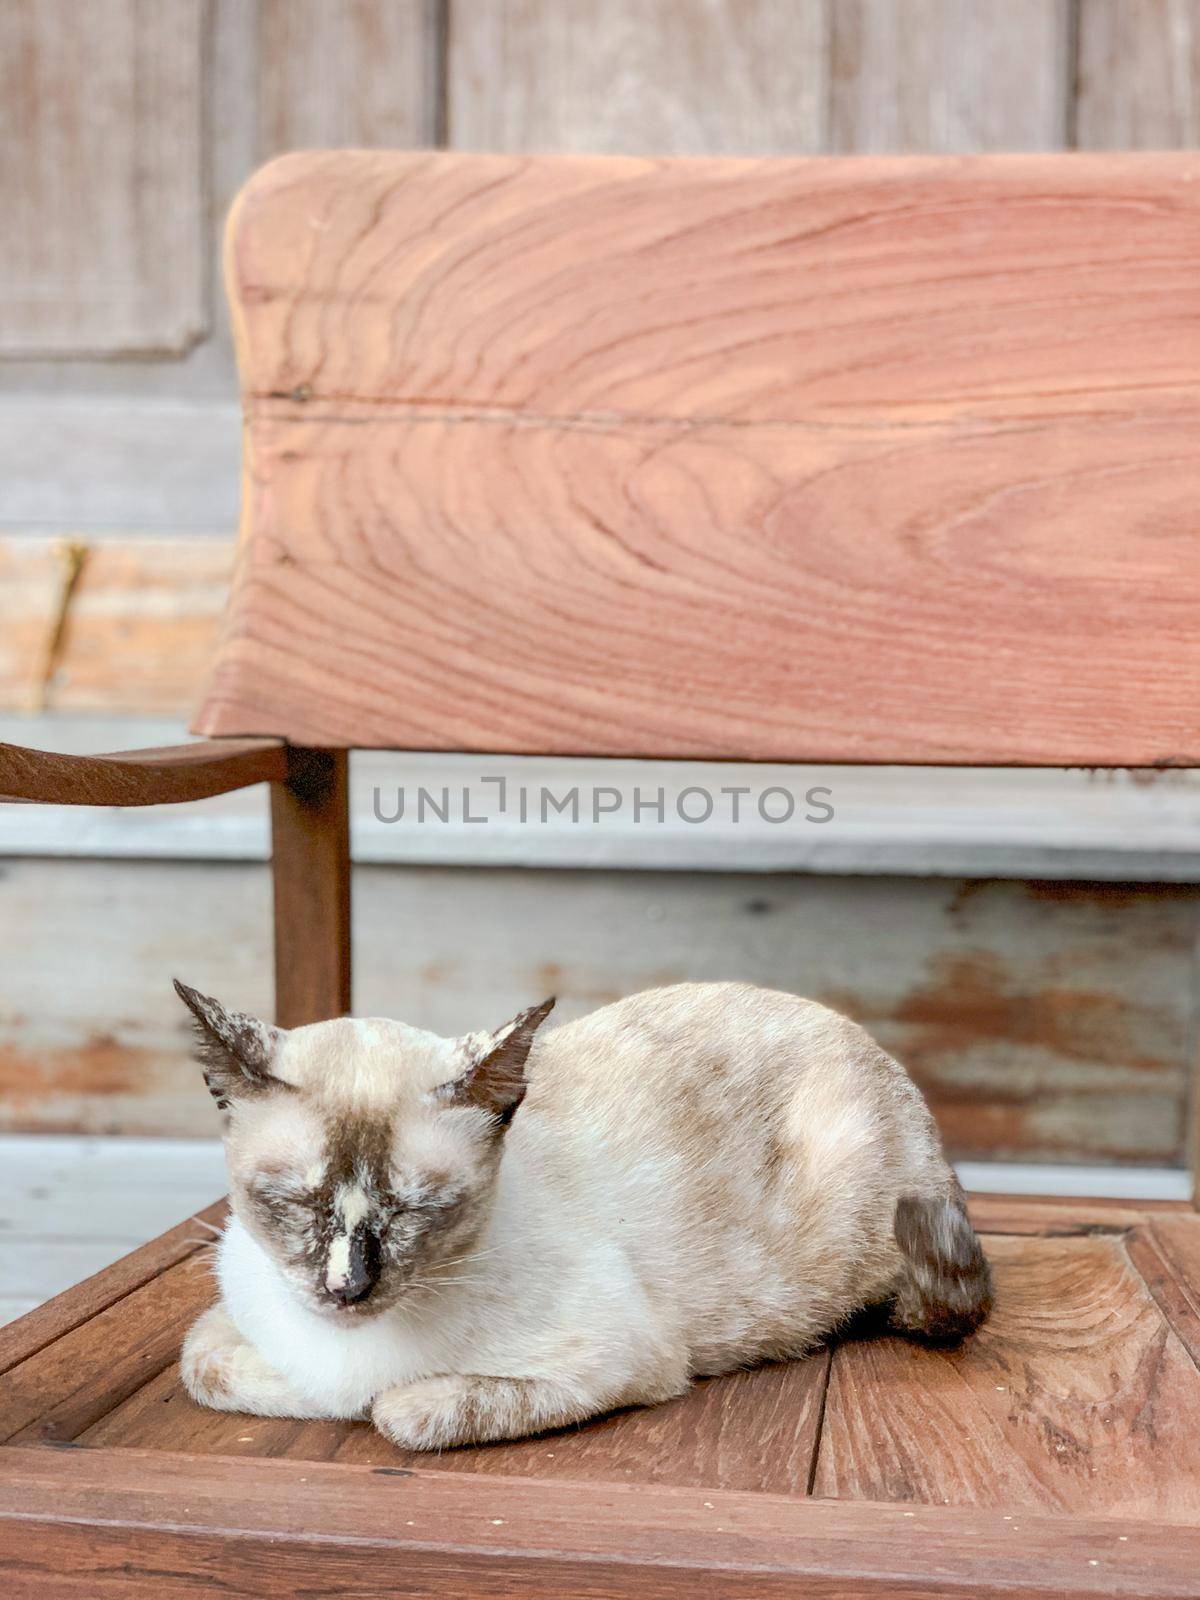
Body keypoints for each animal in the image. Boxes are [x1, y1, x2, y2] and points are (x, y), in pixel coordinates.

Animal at [173, 972, 992, 1452]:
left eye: (415, 1209)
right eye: (291, 1202)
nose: (346, 1289)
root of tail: (869, 1045)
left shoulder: (620, 1360)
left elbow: (399, 1413)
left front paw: (372, 1401)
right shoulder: (227, 1323)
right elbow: (207, 1367)